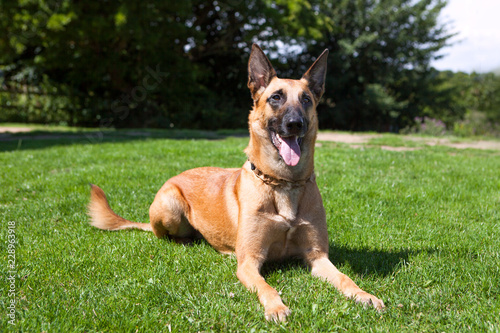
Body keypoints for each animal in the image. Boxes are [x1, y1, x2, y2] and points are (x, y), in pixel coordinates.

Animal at [89, 44, 386, 322]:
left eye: (306, 100)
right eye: (276, 97)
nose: (295, 124)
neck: (282, 183)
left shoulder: (318, 257)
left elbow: (345, 277)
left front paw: (364, 295)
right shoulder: (249, 263)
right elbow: (267, 287)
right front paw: (276, 307)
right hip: (170, 206)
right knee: (164, 235)